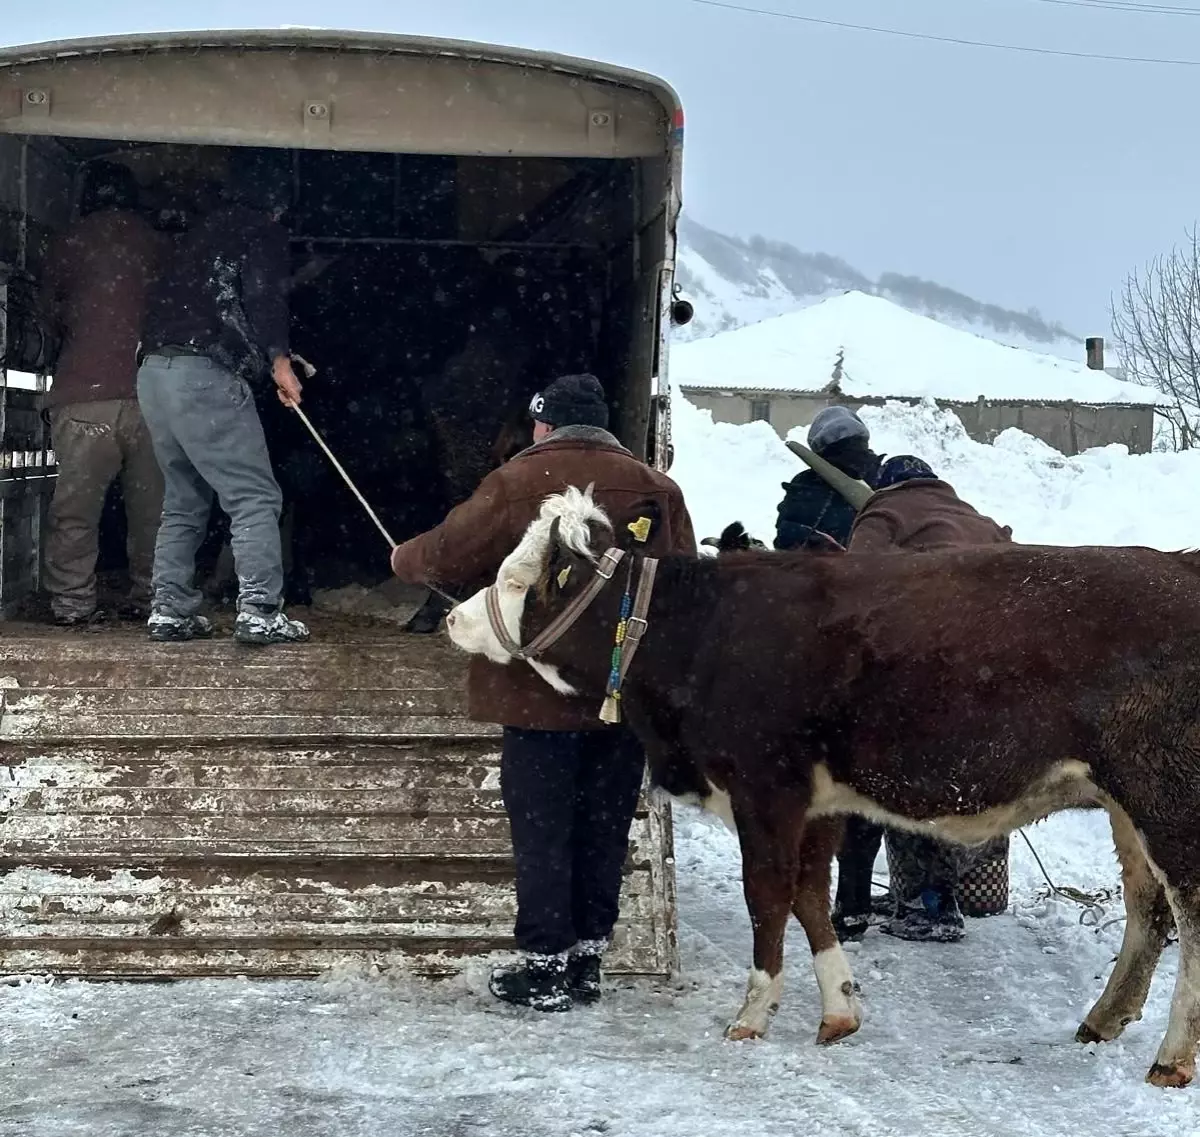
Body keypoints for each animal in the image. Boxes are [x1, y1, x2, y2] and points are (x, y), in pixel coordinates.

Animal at [446, 484, 1200, 1089]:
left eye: (516, 579)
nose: (453, 617)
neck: (696, 634)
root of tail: (1177, 562)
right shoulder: (817, 802)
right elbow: (810, 893)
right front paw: (839, 1009)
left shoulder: (765, 789)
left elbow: (767, 896)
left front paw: (752, 1014)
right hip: (1125, 803)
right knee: (1148, 907)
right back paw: (1103, 1019)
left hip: (1165, 795)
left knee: (1189, 912)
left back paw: (1171, 1058)